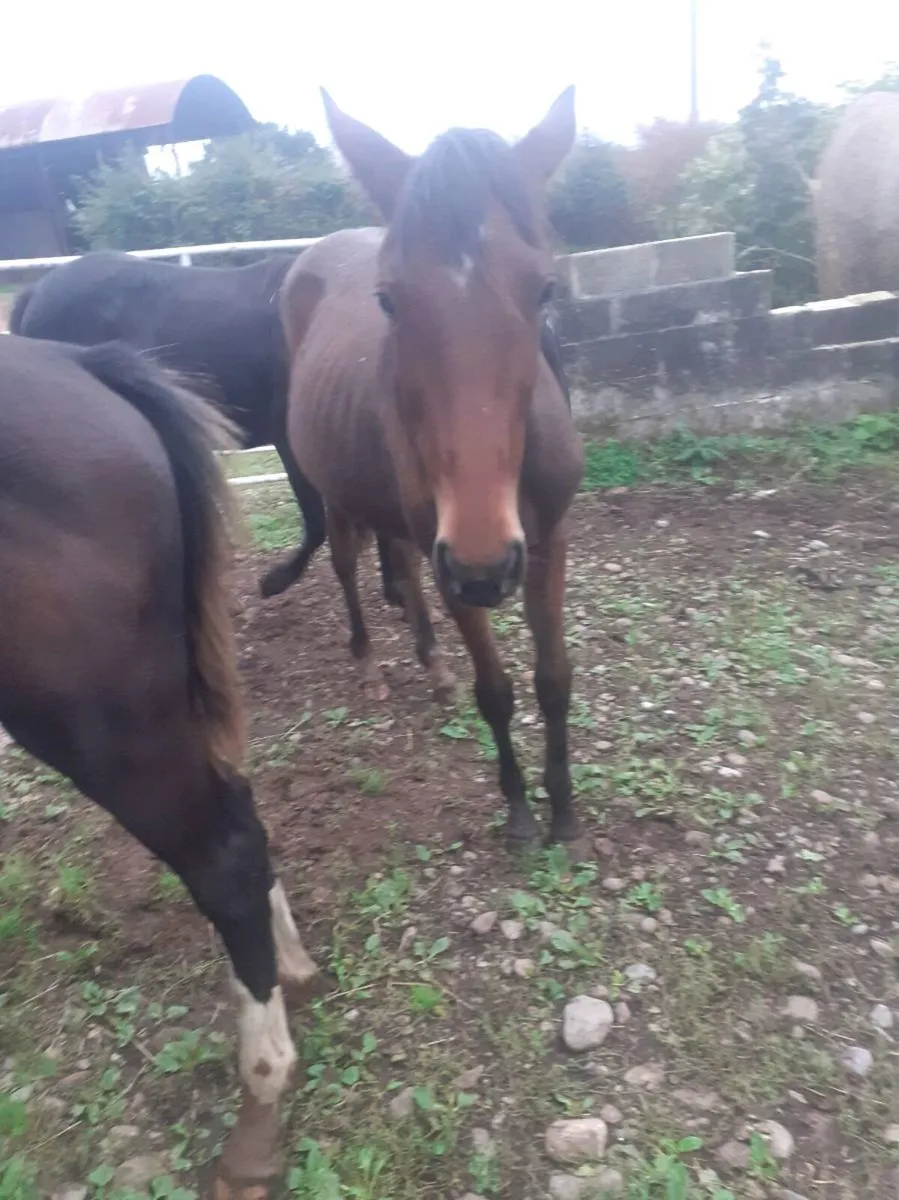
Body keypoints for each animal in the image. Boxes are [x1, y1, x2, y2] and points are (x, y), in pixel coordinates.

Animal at [280, 88, 585, 845]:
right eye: (388, 299)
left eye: (543, 290)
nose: (483, 560)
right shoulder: (458, 566)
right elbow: (497, 691)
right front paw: (518, 811)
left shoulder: (548, 543)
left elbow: (553, 678)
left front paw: (565, 809)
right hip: (339, 495)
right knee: (348, 565)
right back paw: (369, 663)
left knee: (403, 567)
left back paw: (432, 662)